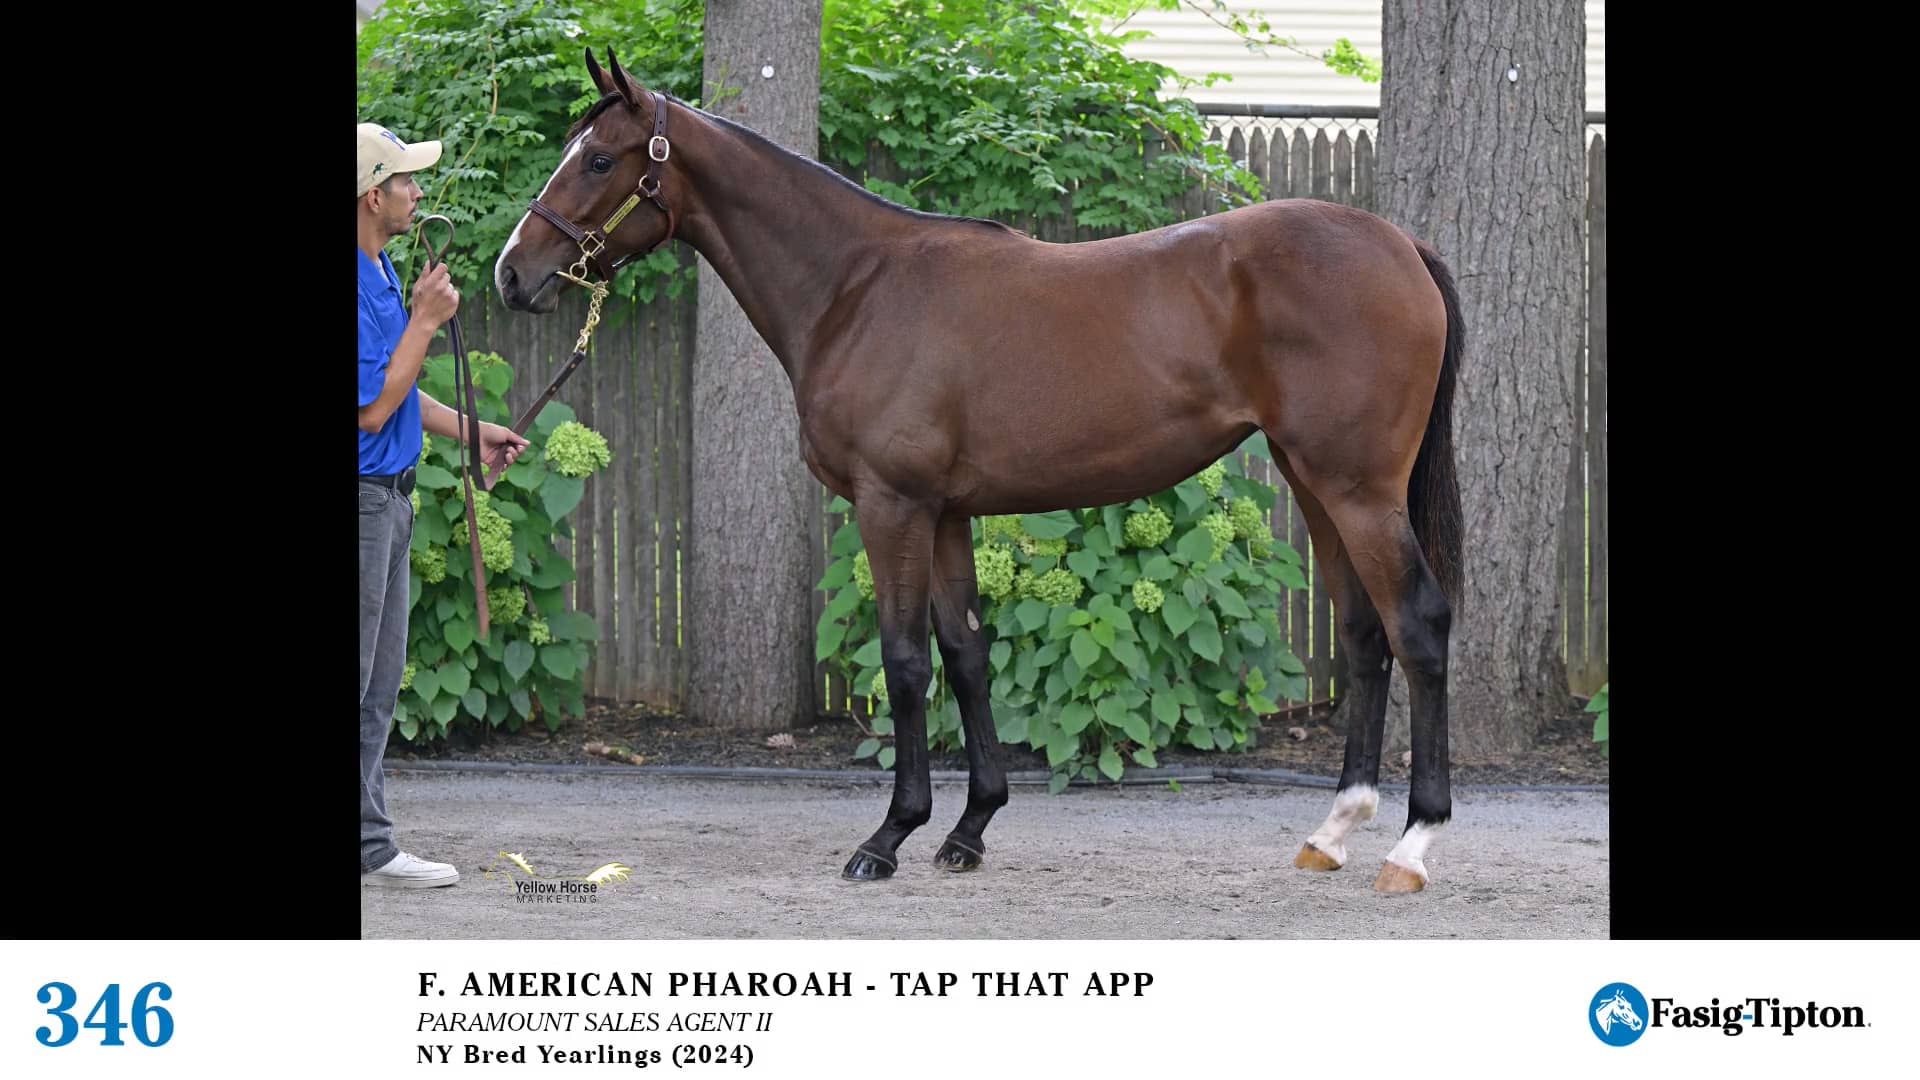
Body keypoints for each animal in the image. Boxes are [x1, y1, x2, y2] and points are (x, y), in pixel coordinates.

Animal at [495, 48, 1466, 891]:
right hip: (1316, 485)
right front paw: (968, 829)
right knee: (1364, 634)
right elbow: (965, 653)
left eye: (600, 159)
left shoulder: (891, 506)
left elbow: (903, 661)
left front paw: (888, 836)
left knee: (1417, 625)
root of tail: (1400, 246)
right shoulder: (948, 513)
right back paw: (1332, 832)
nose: (512, 275)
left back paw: (1413, 846)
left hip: (1359, 491)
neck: (856, 286)